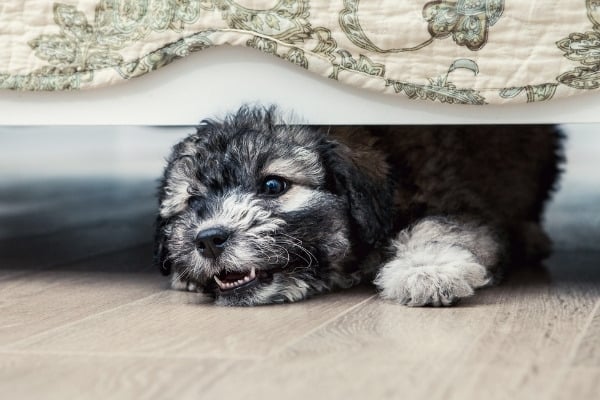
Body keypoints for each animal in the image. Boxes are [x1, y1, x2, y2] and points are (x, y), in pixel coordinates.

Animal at [154, 106, 564, 306]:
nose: (208, 239)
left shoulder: (457, 201)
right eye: (192, 200)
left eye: (273, 185)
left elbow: (441, 226)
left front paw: (425, 270)